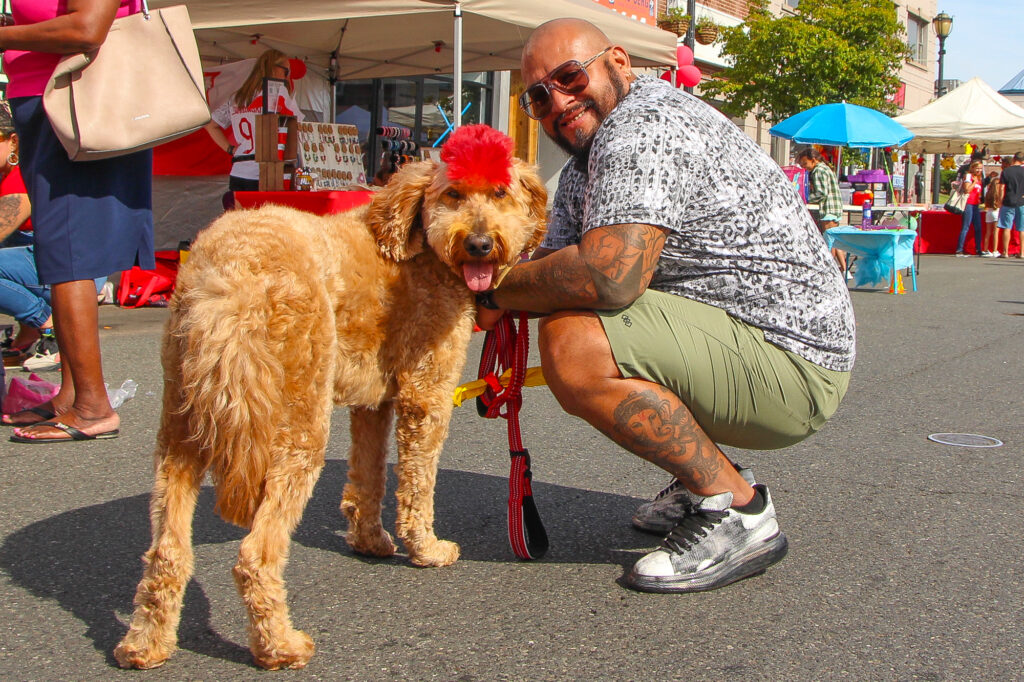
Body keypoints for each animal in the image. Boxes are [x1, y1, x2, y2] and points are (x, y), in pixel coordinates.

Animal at [114, 125, 547, 670]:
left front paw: (370, 541)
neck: (423, 248)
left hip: (184, 424)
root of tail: (228, 278)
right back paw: (279, 646)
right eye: (452, 195)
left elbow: (368, 479)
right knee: (255, 556)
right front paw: (424, 549)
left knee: (167, 551)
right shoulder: (425, 395)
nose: (480, 243)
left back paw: (145, 644)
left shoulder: (374, 402)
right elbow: (416, 485)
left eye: (500, 193)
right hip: (297, 424)